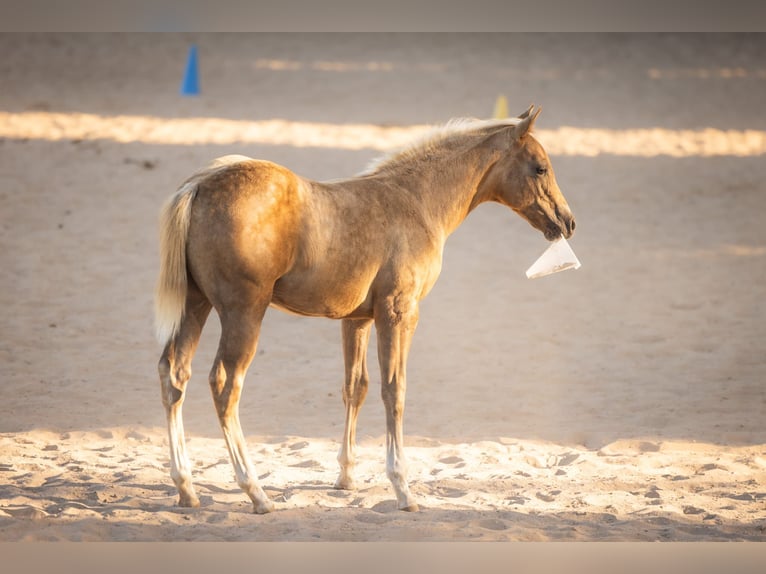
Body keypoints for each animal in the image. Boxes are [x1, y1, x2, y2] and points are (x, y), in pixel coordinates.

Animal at [154, 105, 575, 514]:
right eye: (540, 167)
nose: (568, 222)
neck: (418, 201)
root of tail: (199, 185)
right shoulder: (399, 312)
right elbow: (394, 389)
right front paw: (402, 487)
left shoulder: (356, 320)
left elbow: (355, 386)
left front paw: (346, 477)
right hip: (244, 312)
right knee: (226, 385)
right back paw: (255, 492)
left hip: (196, 304)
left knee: (174, 373)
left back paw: (186, 488)